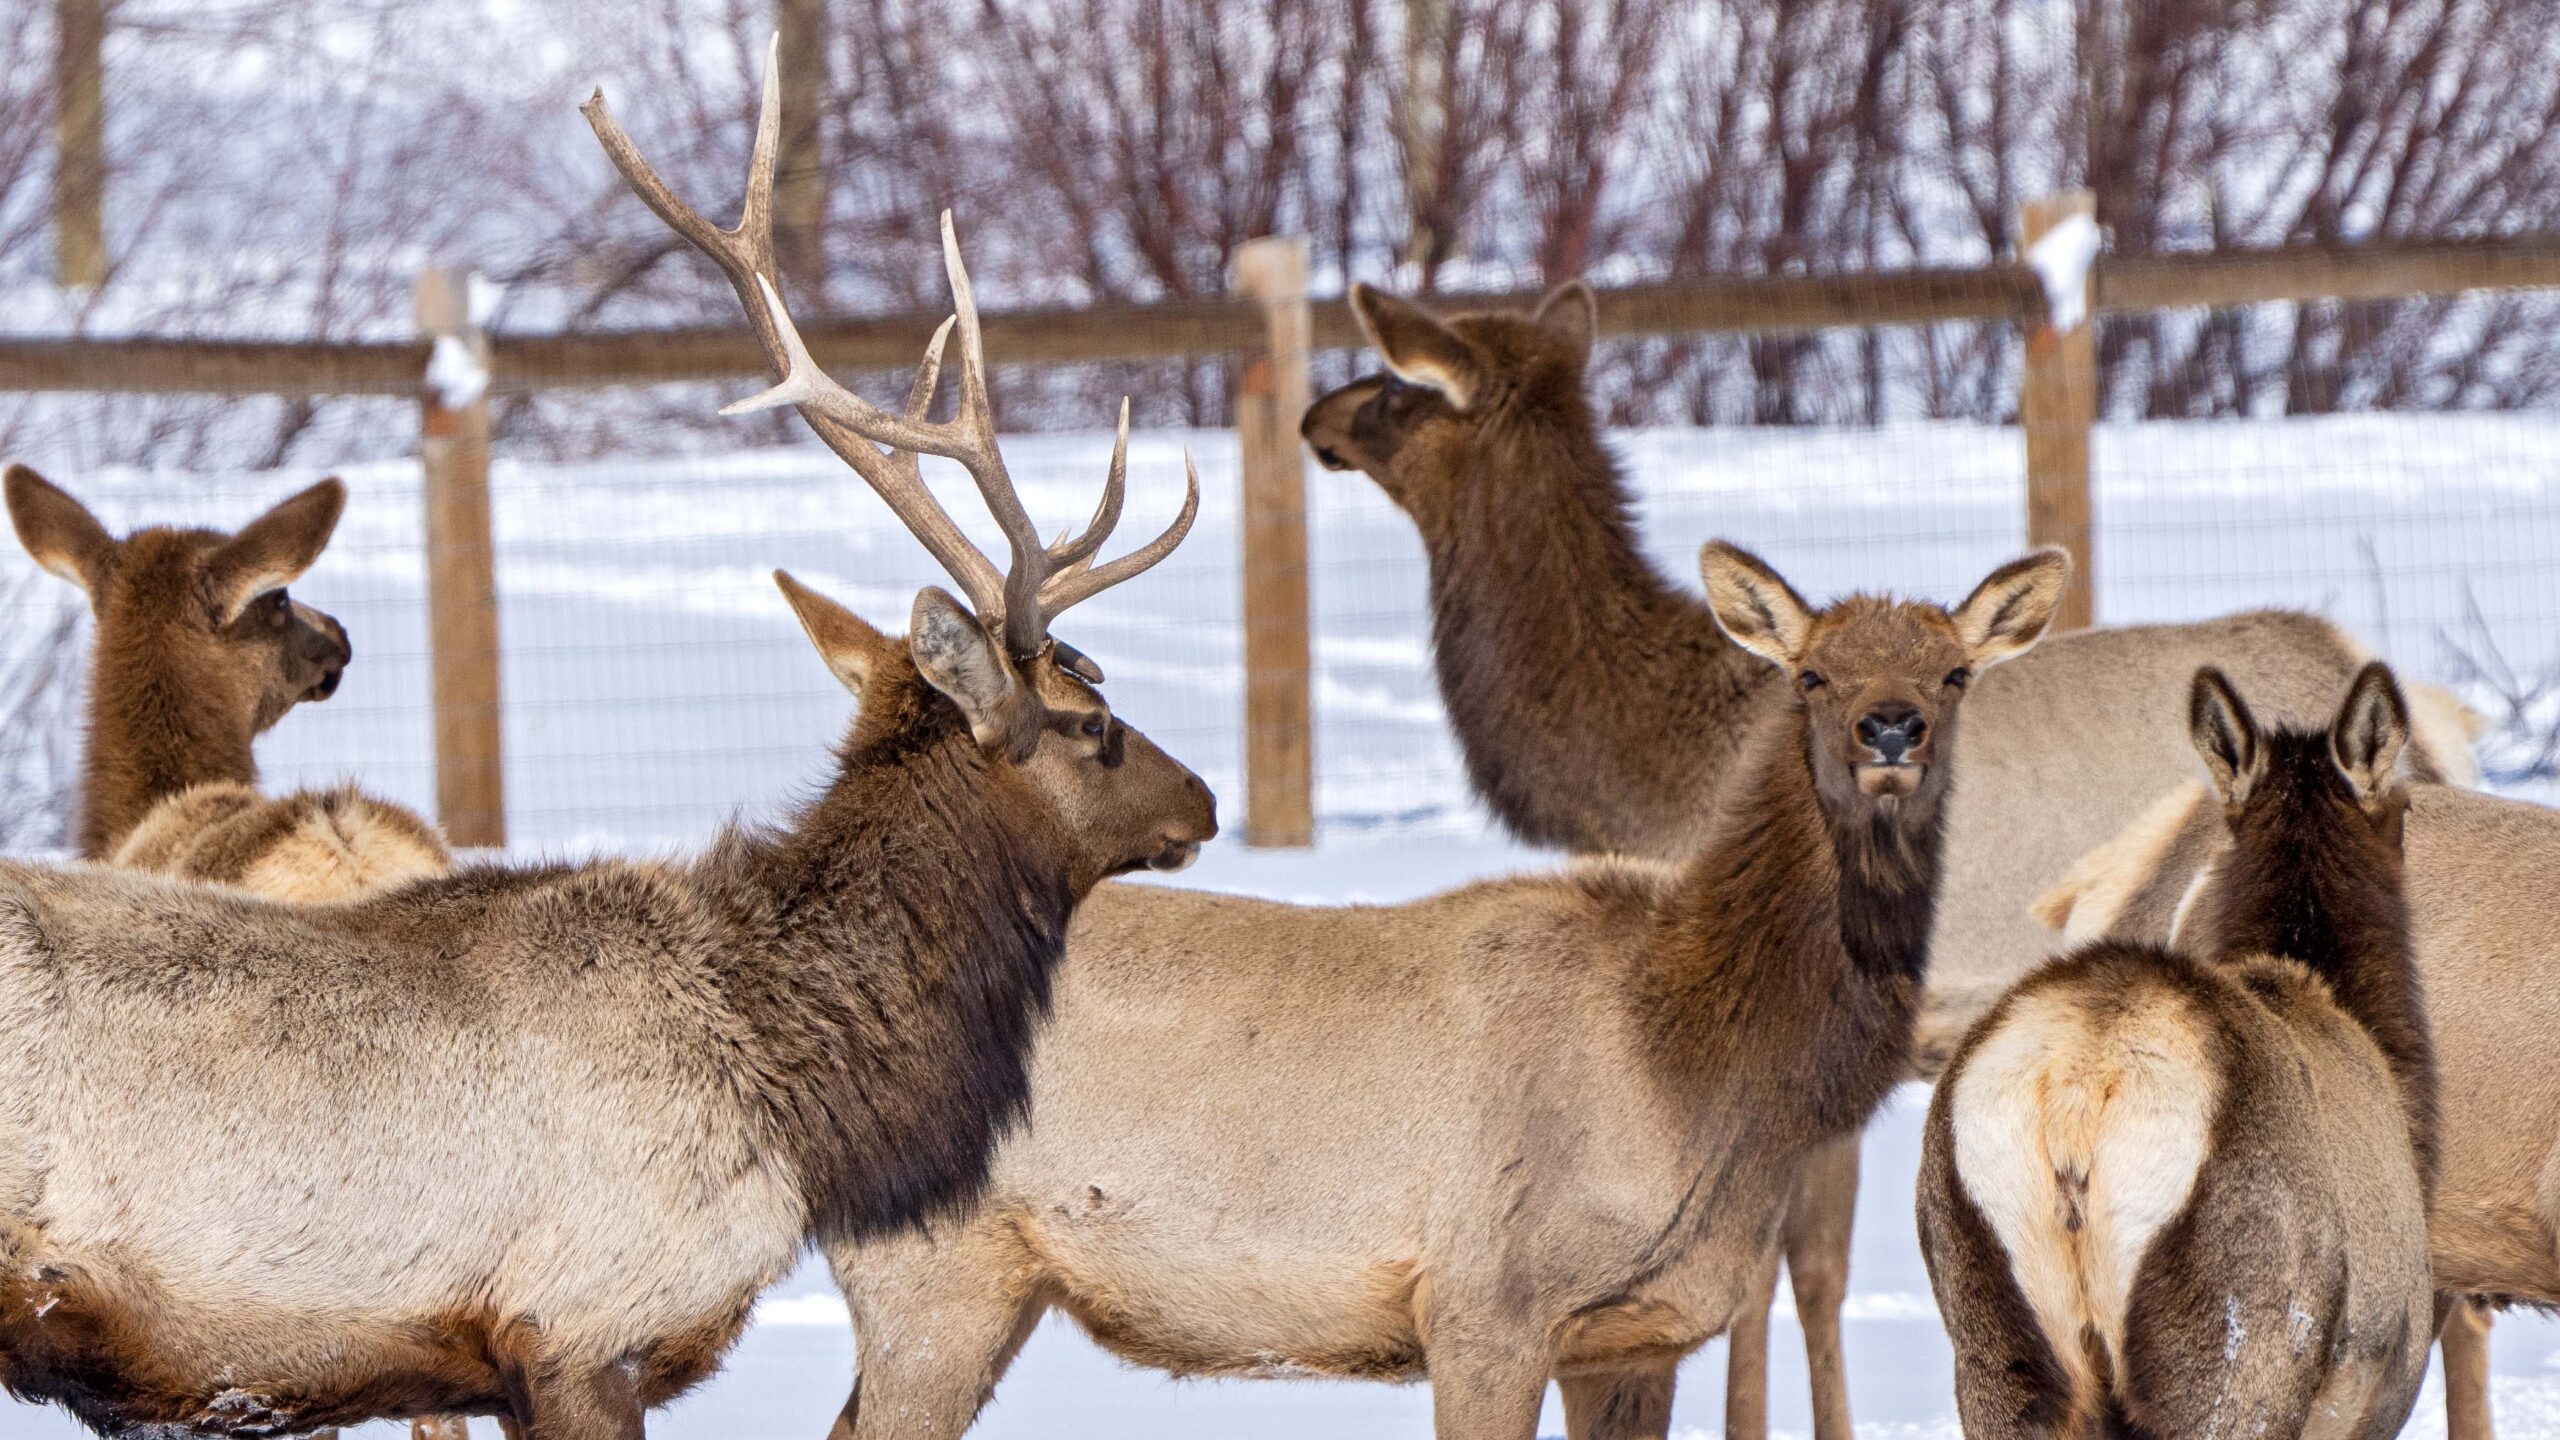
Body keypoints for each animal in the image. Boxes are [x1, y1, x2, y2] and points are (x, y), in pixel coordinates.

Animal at [814, 540, 2058, 1434]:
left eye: (1953, 672)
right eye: (1809, 673)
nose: (1889, 729)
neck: (1697, 1066)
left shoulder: (1640, 1335)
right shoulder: (1482, 1306)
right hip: (933, 1272)